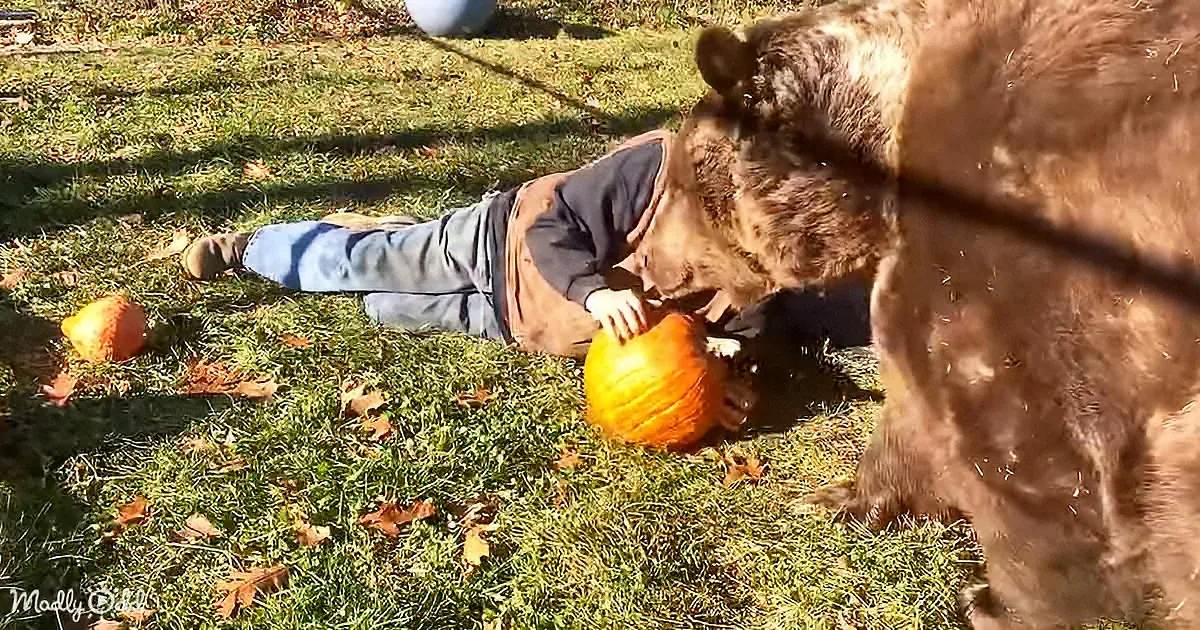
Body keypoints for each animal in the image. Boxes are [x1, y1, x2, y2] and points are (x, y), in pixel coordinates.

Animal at [634, 0, 1200, 627]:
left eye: (680, 180)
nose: (646, 260)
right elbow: (909, 420)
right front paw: (837, 498)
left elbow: (1035, 484)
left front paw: (994, 600)